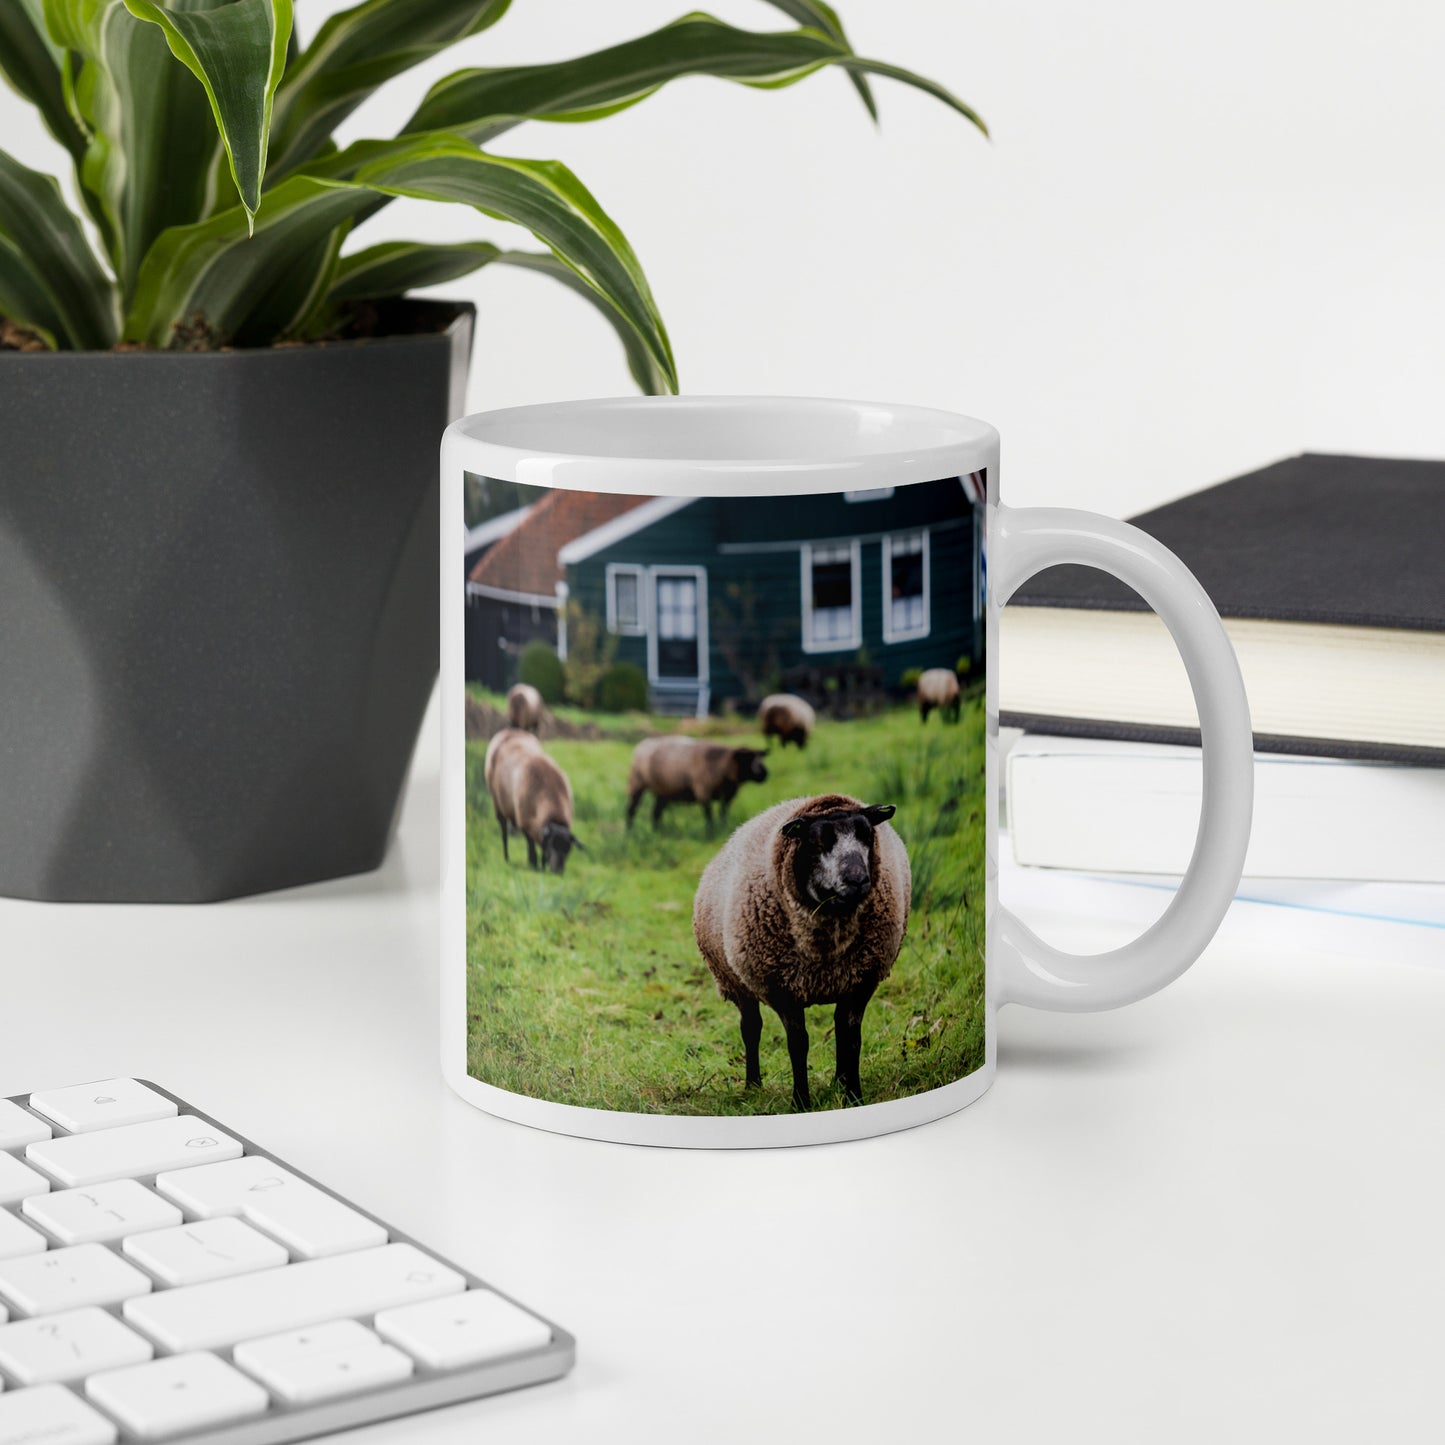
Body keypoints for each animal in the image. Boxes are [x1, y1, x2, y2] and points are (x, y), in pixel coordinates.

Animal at [479, 728, 580, 872]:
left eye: (568, 848)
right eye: (552, 844)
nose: (558, 872)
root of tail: (510, 730)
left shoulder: (537, 826)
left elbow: (541, 846)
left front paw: (542, 865)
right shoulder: (525, 820)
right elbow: (530, 843)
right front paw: (533, 863)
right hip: (498, 804)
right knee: (504, 832)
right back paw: (506, 857)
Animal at [627, 734, 774, 838]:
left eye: (760, 757)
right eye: (747, 759)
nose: (765, 774)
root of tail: (643, 743)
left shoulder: (728, 796)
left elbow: (723, 813)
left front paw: (724, 828)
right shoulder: (704, 792)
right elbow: (709, 816)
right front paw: (711, 833)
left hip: (663, 792)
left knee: (656, 813)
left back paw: (658, 832)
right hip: (636, 783)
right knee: (631, 810)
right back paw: (629, 833)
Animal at [693, 797, 907, 1109]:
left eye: (868, 835)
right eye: (817, 842)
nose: (857, 879)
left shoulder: (860, 981)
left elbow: (851, 1037)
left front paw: (854, 1096)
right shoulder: (783, 990)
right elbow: (798, 1044)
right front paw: (801, 1102)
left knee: (838, 1027)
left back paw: (838, 1081)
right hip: (737, 983)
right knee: (751, 1028)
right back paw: (752, 1086)